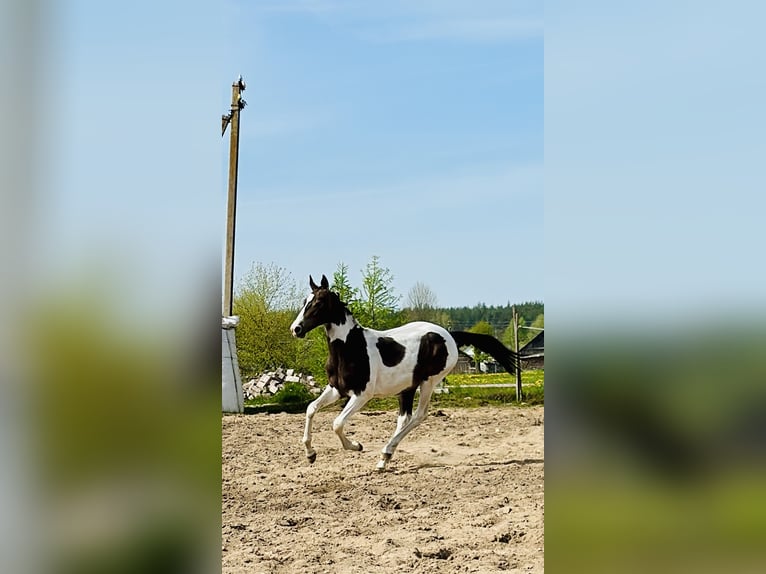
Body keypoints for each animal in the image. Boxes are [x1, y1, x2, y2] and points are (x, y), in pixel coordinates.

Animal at [290, 276, 520, 472]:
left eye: (319, 303)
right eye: (305, 301)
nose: (296, 329)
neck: (351, 347)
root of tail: (449, 336)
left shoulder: (362, 395)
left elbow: (337, 423)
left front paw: (356, 445)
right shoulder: (336, 389)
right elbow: (311, 409)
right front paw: (310, 454)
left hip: (428, 382)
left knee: (419, 415)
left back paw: (385, 453)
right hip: (407, 387)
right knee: (404, 418)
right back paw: (384, 460)